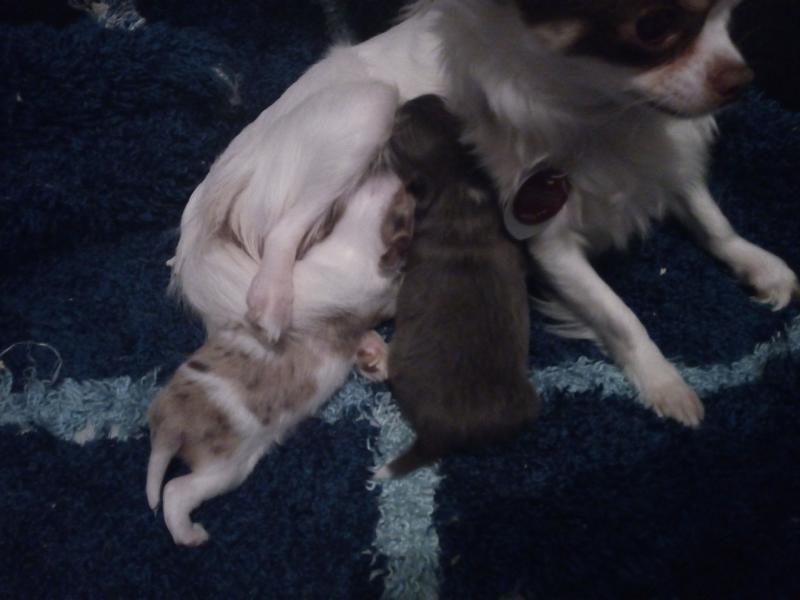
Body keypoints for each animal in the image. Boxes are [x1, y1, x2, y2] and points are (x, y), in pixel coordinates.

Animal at [147, 171, 412, 545]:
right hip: (224, 469)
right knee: (175, 491)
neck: (352, 239)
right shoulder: (380, 291)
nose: (393, 173)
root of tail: (168, 425)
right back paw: (189, 534)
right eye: (406, 202)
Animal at [172, 0, 798, 427]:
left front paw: (762, 265)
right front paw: (665, 382)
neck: (609, 123)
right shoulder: (549, 244)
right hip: (367, 107)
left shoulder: (673, 168)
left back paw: (371, 345)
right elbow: (619, 315)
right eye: (653, 27)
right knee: (286, 239)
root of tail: (226, 171)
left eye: (729, 17)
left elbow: (714, 221)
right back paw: (274, 296)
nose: (742, 79)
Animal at [374, 94, 539, 479]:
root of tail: (439, 435)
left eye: (396, 138)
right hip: (526, 403)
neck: (460, 176)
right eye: (436, 101)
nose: (406, 101)